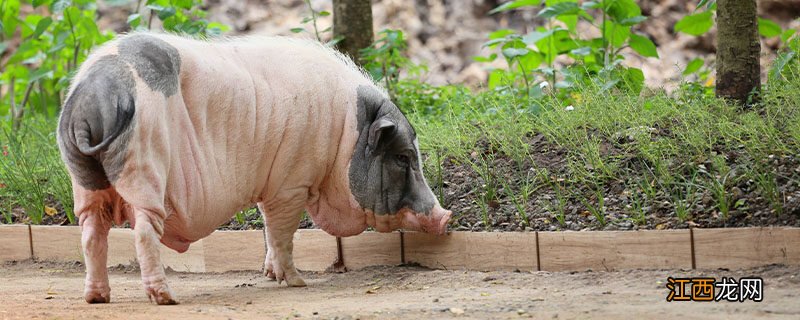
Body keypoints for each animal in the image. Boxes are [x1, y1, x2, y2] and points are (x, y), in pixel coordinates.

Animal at [57, 32, 450, 304]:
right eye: (403, 157)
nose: (446, 217)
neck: (345, 135)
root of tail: (94, 96)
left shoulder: (273, 185)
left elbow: (267, 229)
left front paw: (271, 276)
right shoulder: (292, 182)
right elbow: (282, 234)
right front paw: (297, 282)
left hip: (84, 182)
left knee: (91, 233)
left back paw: (97, 298)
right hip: (144, 170)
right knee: (142, 232)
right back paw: (165, 298)